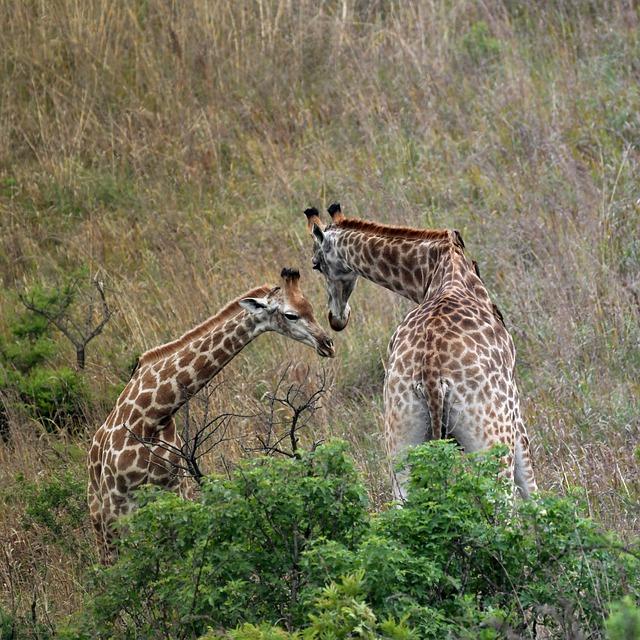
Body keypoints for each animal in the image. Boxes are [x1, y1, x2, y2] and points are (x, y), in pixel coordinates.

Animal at [89, 268, 336, 564]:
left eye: (310, 307)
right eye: (291, 315)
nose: (328, 344)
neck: (151, 416)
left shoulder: (176, 490)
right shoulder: (117, 503)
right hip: (99, 513)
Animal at [304, 205, 536, 500]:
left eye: (316, 264)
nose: (336, 318)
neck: (434, 269)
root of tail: (432, 375)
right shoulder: (517, 419)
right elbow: (533, 494)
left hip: (400, 440)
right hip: (492, 438)